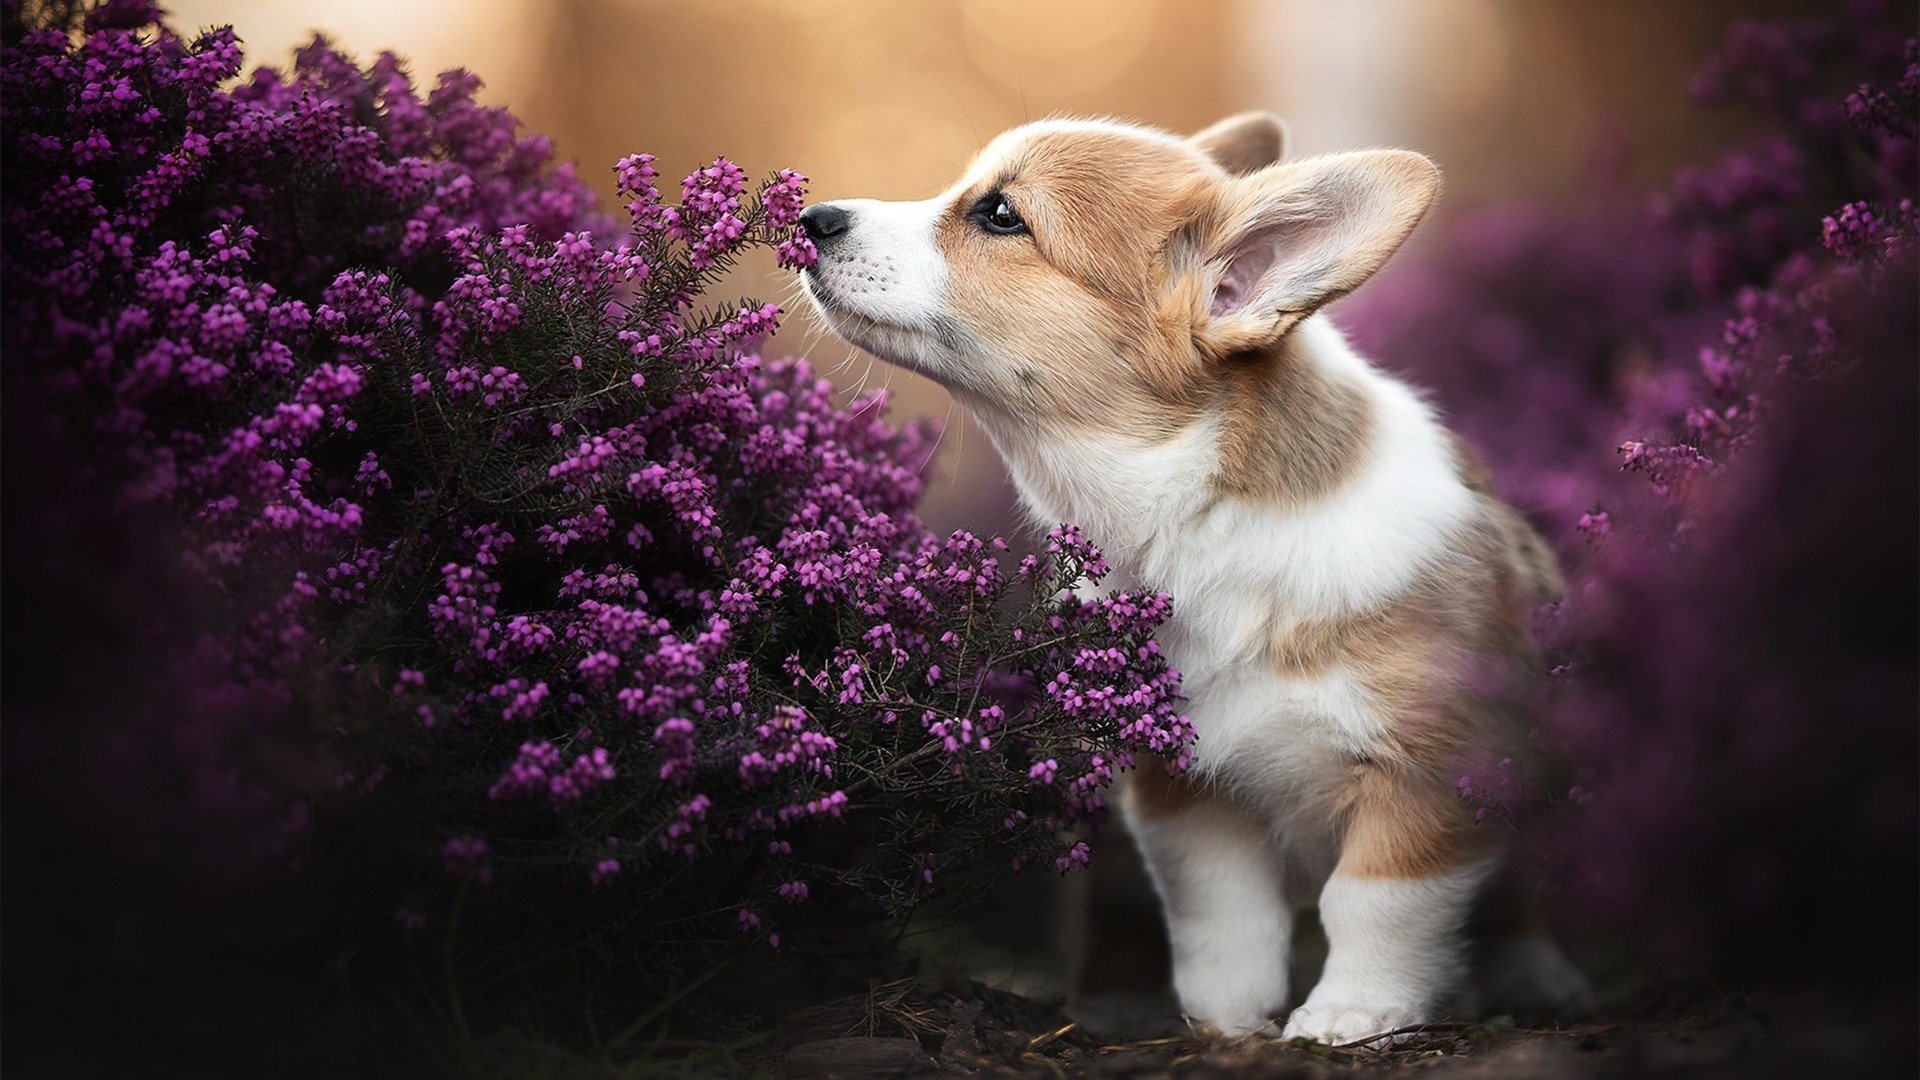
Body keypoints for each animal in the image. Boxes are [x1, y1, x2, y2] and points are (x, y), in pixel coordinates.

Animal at [794, 111, 1589, 1045]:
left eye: (1001, 215)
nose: (809, 218)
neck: (1198, 521)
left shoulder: (1436, 771)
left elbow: (1373, 902)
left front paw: (1351, 1013)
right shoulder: (1184, 785)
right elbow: (1221, 910)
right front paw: (1226, 1019)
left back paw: (1535, 976)